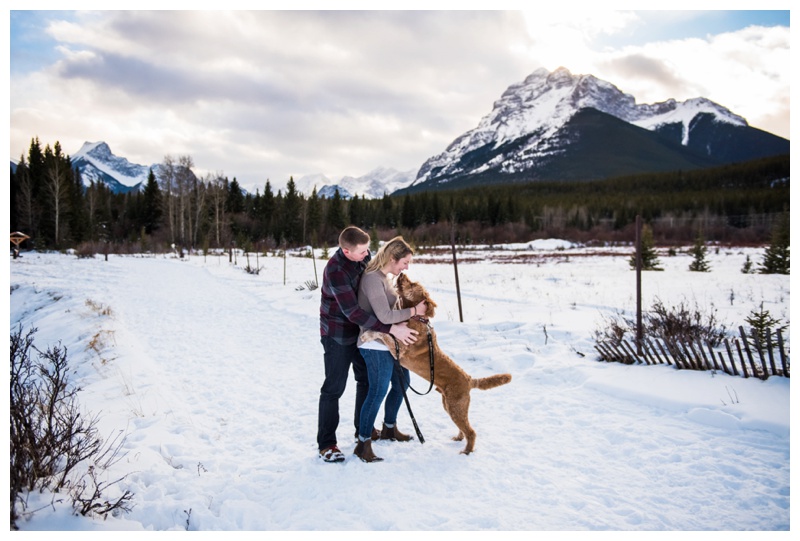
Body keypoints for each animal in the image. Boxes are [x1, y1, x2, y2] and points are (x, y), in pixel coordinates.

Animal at [362, 272, 512, 454]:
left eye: (413, 285)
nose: (402, 273)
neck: (416, 318)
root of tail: (469, 380)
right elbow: (387, 330)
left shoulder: (401, 347)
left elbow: (384, 333)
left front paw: (367, 334)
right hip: (449, 405)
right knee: (463, 428)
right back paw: (458, 438)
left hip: (455, 407)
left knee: (471, 431)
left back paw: (466, 451)